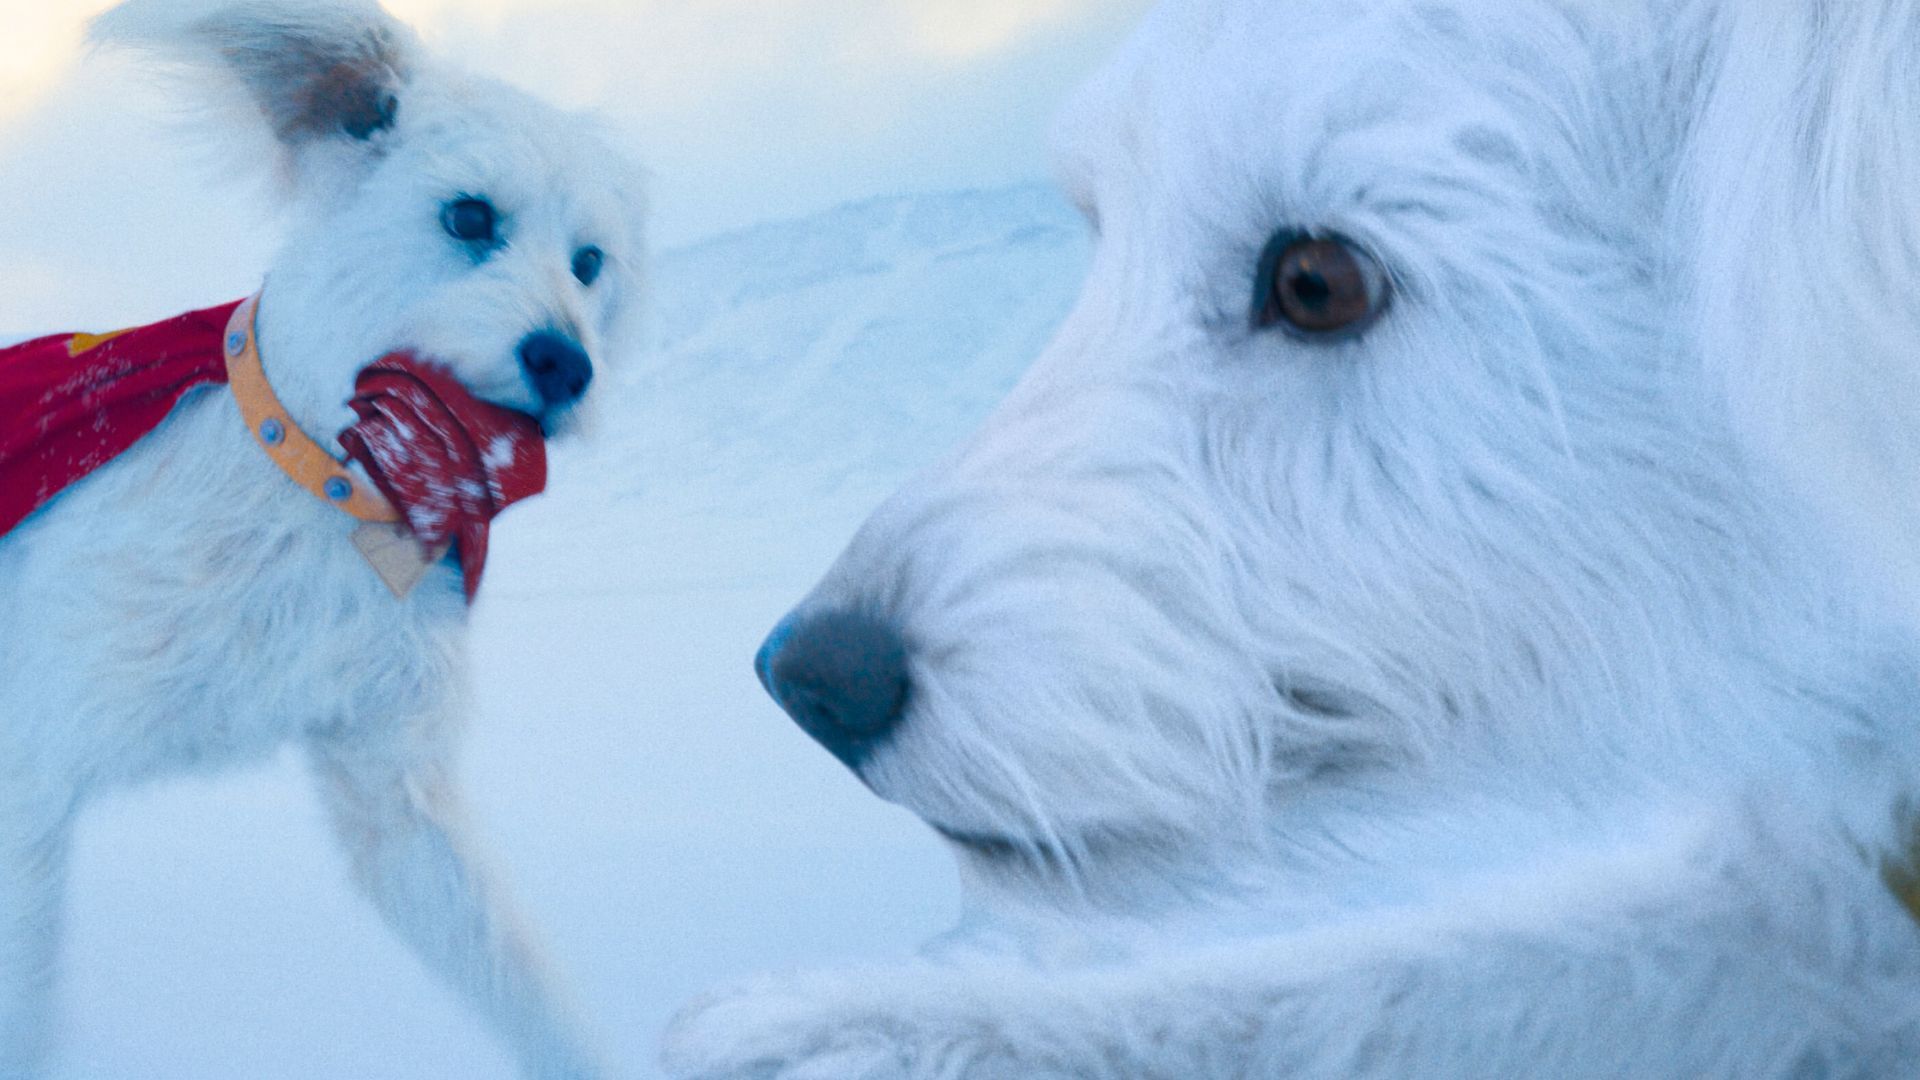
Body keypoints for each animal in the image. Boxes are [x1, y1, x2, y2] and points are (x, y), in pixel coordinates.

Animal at [0, 4, 645, 1068]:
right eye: (470, 217)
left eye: (590, 264)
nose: (568, 363)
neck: (334, 491)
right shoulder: (30, 767)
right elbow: (26, 1006)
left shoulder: (393, 784)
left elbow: (524, 984)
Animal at [675, 2, 1920, 1076]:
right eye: (1101, 222)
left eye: (1320, 281)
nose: (814, 673)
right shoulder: (1810, 899)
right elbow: (1400, 976)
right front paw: (868, 1027)